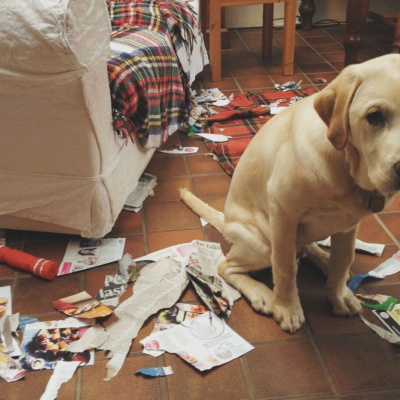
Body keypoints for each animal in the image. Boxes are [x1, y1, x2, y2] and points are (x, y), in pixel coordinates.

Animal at [180, 54, 400, 332]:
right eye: (375, 116)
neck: (345, 165)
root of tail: (226, 221)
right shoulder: (284, 214)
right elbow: (284, 267)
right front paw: (287, 308)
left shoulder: (350, 224)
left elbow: (343, 259)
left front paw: (338, 294)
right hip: (262, 241)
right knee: (227, 266)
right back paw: (262, 294)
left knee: (309, 248)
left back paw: (323, 258)